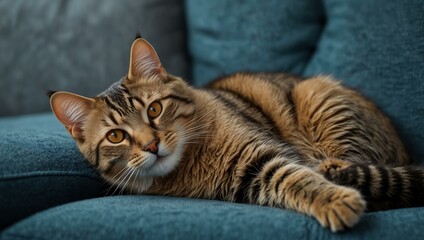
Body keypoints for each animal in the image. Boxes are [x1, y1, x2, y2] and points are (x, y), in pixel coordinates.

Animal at [49, 34, 424, 232]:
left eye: (154, 110)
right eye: (116, 136)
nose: (152, 145)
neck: (190, 160)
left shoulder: (261, 152)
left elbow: (300, 177)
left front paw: (335, 198)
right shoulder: (253, 174)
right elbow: (291, 180)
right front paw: (333, 198)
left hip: (322, 100)